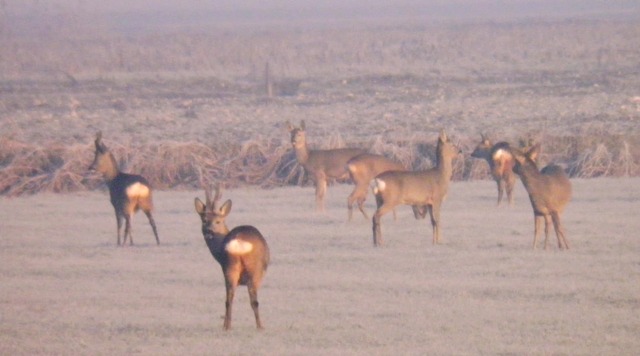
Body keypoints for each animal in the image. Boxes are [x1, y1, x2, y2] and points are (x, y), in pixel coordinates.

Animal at [192, 185, 268, 330]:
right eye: (204, 221)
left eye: (218, 221)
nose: (209, 231)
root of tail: (238, 241)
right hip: (254, 269)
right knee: (254, 300)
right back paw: (260, 326)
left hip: (229, 266)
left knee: (229, 298)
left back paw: (227, 327)